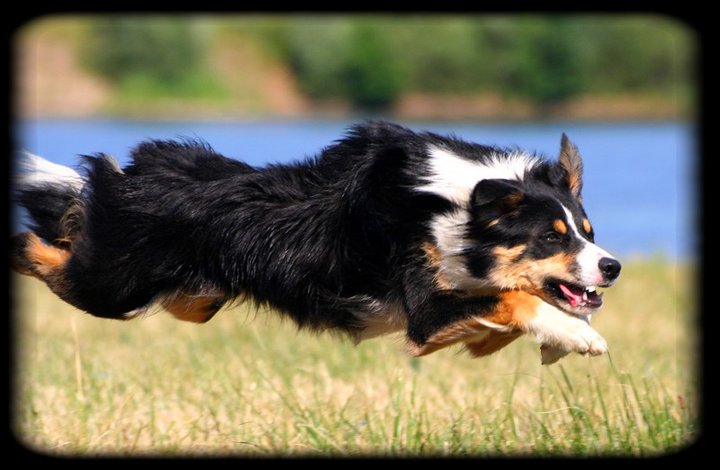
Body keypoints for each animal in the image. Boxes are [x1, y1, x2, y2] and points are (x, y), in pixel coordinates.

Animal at [9, 120, 620, 364]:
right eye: (549, 237)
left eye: (588, 233)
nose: (612, 267)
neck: (460, 209)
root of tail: (134, 173)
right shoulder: (424, 313)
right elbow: (515, 298)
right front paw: (578, 335)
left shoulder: (438, 331)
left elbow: (512, 308)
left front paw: (560, 338)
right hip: (114, 285)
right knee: (31, 242)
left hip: (190, 298)